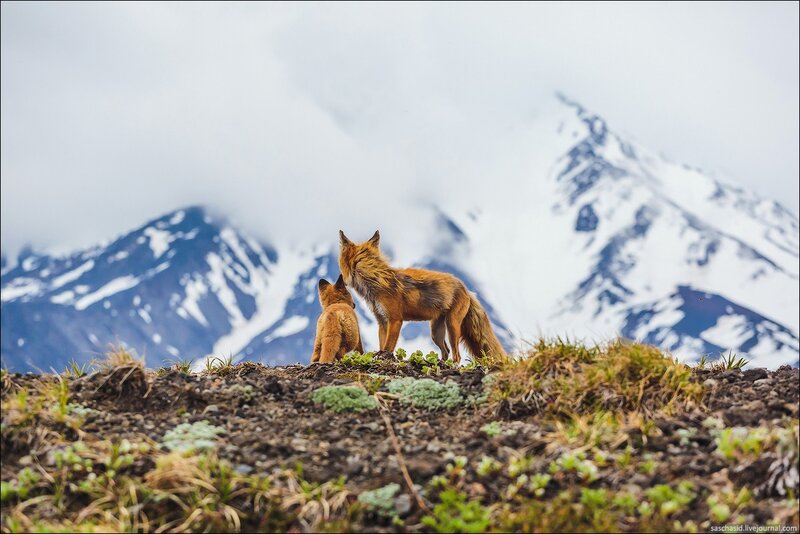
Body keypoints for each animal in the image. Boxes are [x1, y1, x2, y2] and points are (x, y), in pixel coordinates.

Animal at [338, 230, 505, 364]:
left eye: (360, 262)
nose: (345, 280)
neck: (377, 282)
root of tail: (466, 288)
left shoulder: (395, 320)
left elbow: (388, 347)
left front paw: (384, 358)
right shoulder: (382, 321)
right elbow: (382, 344)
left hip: (452, 326)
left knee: (456, 355)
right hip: (436, 332)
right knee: (446, 351)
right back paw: (440, 364)